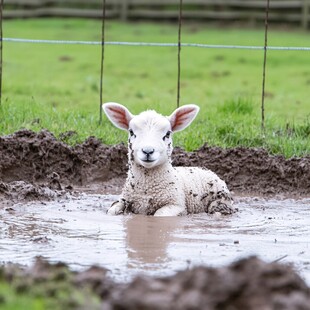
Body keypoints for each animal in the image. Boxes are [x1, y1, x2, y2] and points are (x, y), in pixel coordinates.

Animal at [102, 103, 235, 217]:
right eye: (131, 132)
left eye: (167, 134)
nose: (148, 151)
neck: (146, 188)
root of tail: (206, 169)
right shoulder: (124, 200)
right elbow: (112, 211)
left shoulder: (177, 206)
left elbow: (159, 215)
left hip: (220, 201)